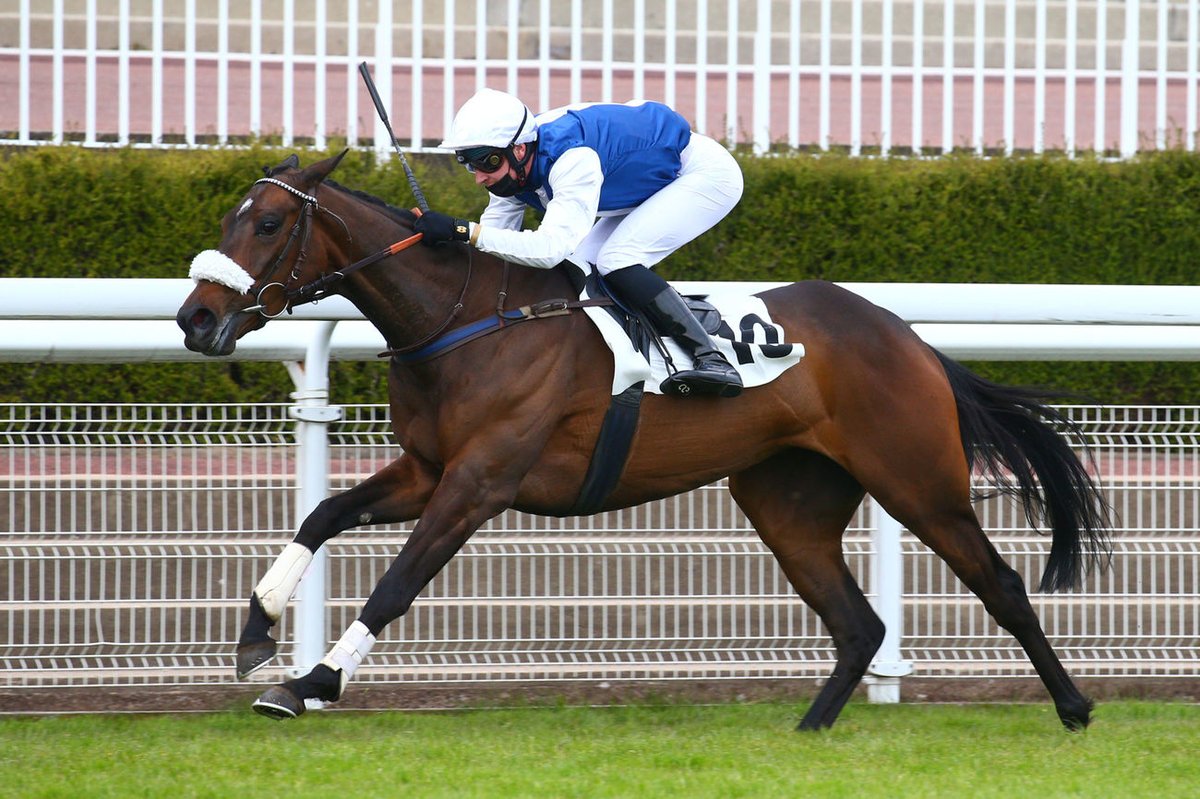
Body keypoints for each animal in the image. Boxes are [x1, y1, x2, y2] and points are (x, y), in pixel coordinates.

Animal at [174, 149, 1108, 729]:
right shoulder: (427, 468)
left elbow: (398, 582)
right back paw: (808, 727)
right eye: (226, 219)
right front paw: (257, 630)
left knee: (1001, 584)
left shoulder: (479, 482)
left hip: (918, 480)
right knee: (858, 625)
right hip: (788, 503)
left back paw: (1073, 706)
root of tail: (907, 337)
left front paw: (313, 680)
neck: (466, 320)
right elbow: (323, 515)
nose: (195, 319)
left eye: (266, 226)